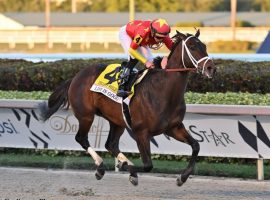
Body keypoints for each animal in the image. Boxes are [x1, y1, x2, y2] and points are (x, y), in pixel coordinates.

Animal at [38, 29, 215, 186]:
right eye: (191, 46)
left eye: (204, 46)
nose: (211, 68)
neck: (163, 91)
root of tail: (76, 76)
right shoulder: (141, 132)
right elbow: (148, 165)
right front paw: (129, 170)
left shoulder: (173, 127)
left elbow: (196, 146)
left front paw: (182, 177)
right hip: (86, 115)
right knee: (81, 138)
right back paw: (101, 167)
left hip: (117, 121)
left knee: (110, 144)